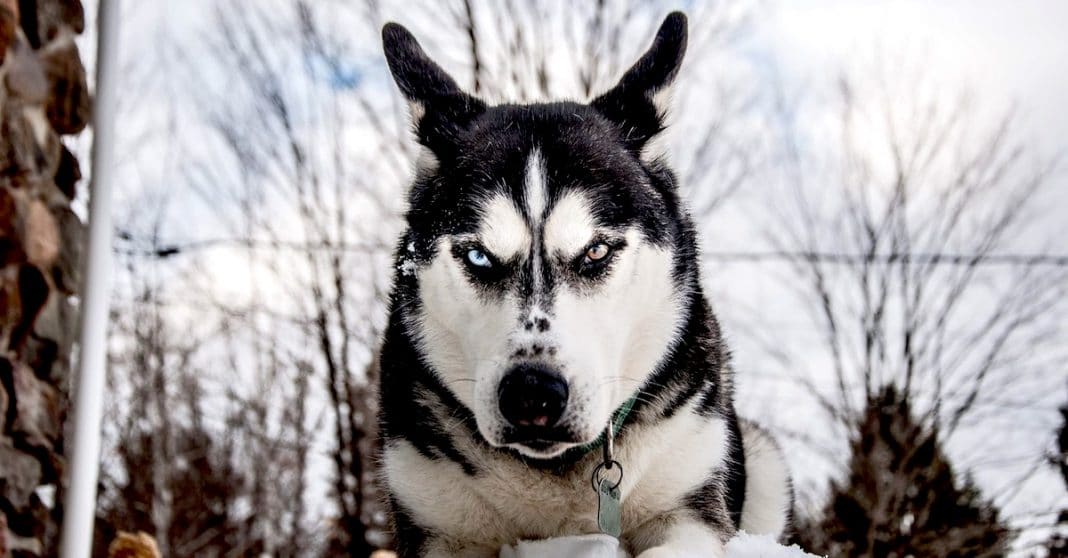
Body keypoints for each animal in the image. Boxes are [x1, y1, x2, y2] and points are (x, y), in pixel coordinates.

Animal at [380, 13, 790, 555]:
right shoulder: (437, 525)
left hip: (764, 460)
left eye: (595, 251)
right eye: (478, 256)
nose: (532, 395)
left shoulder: (689, 509)